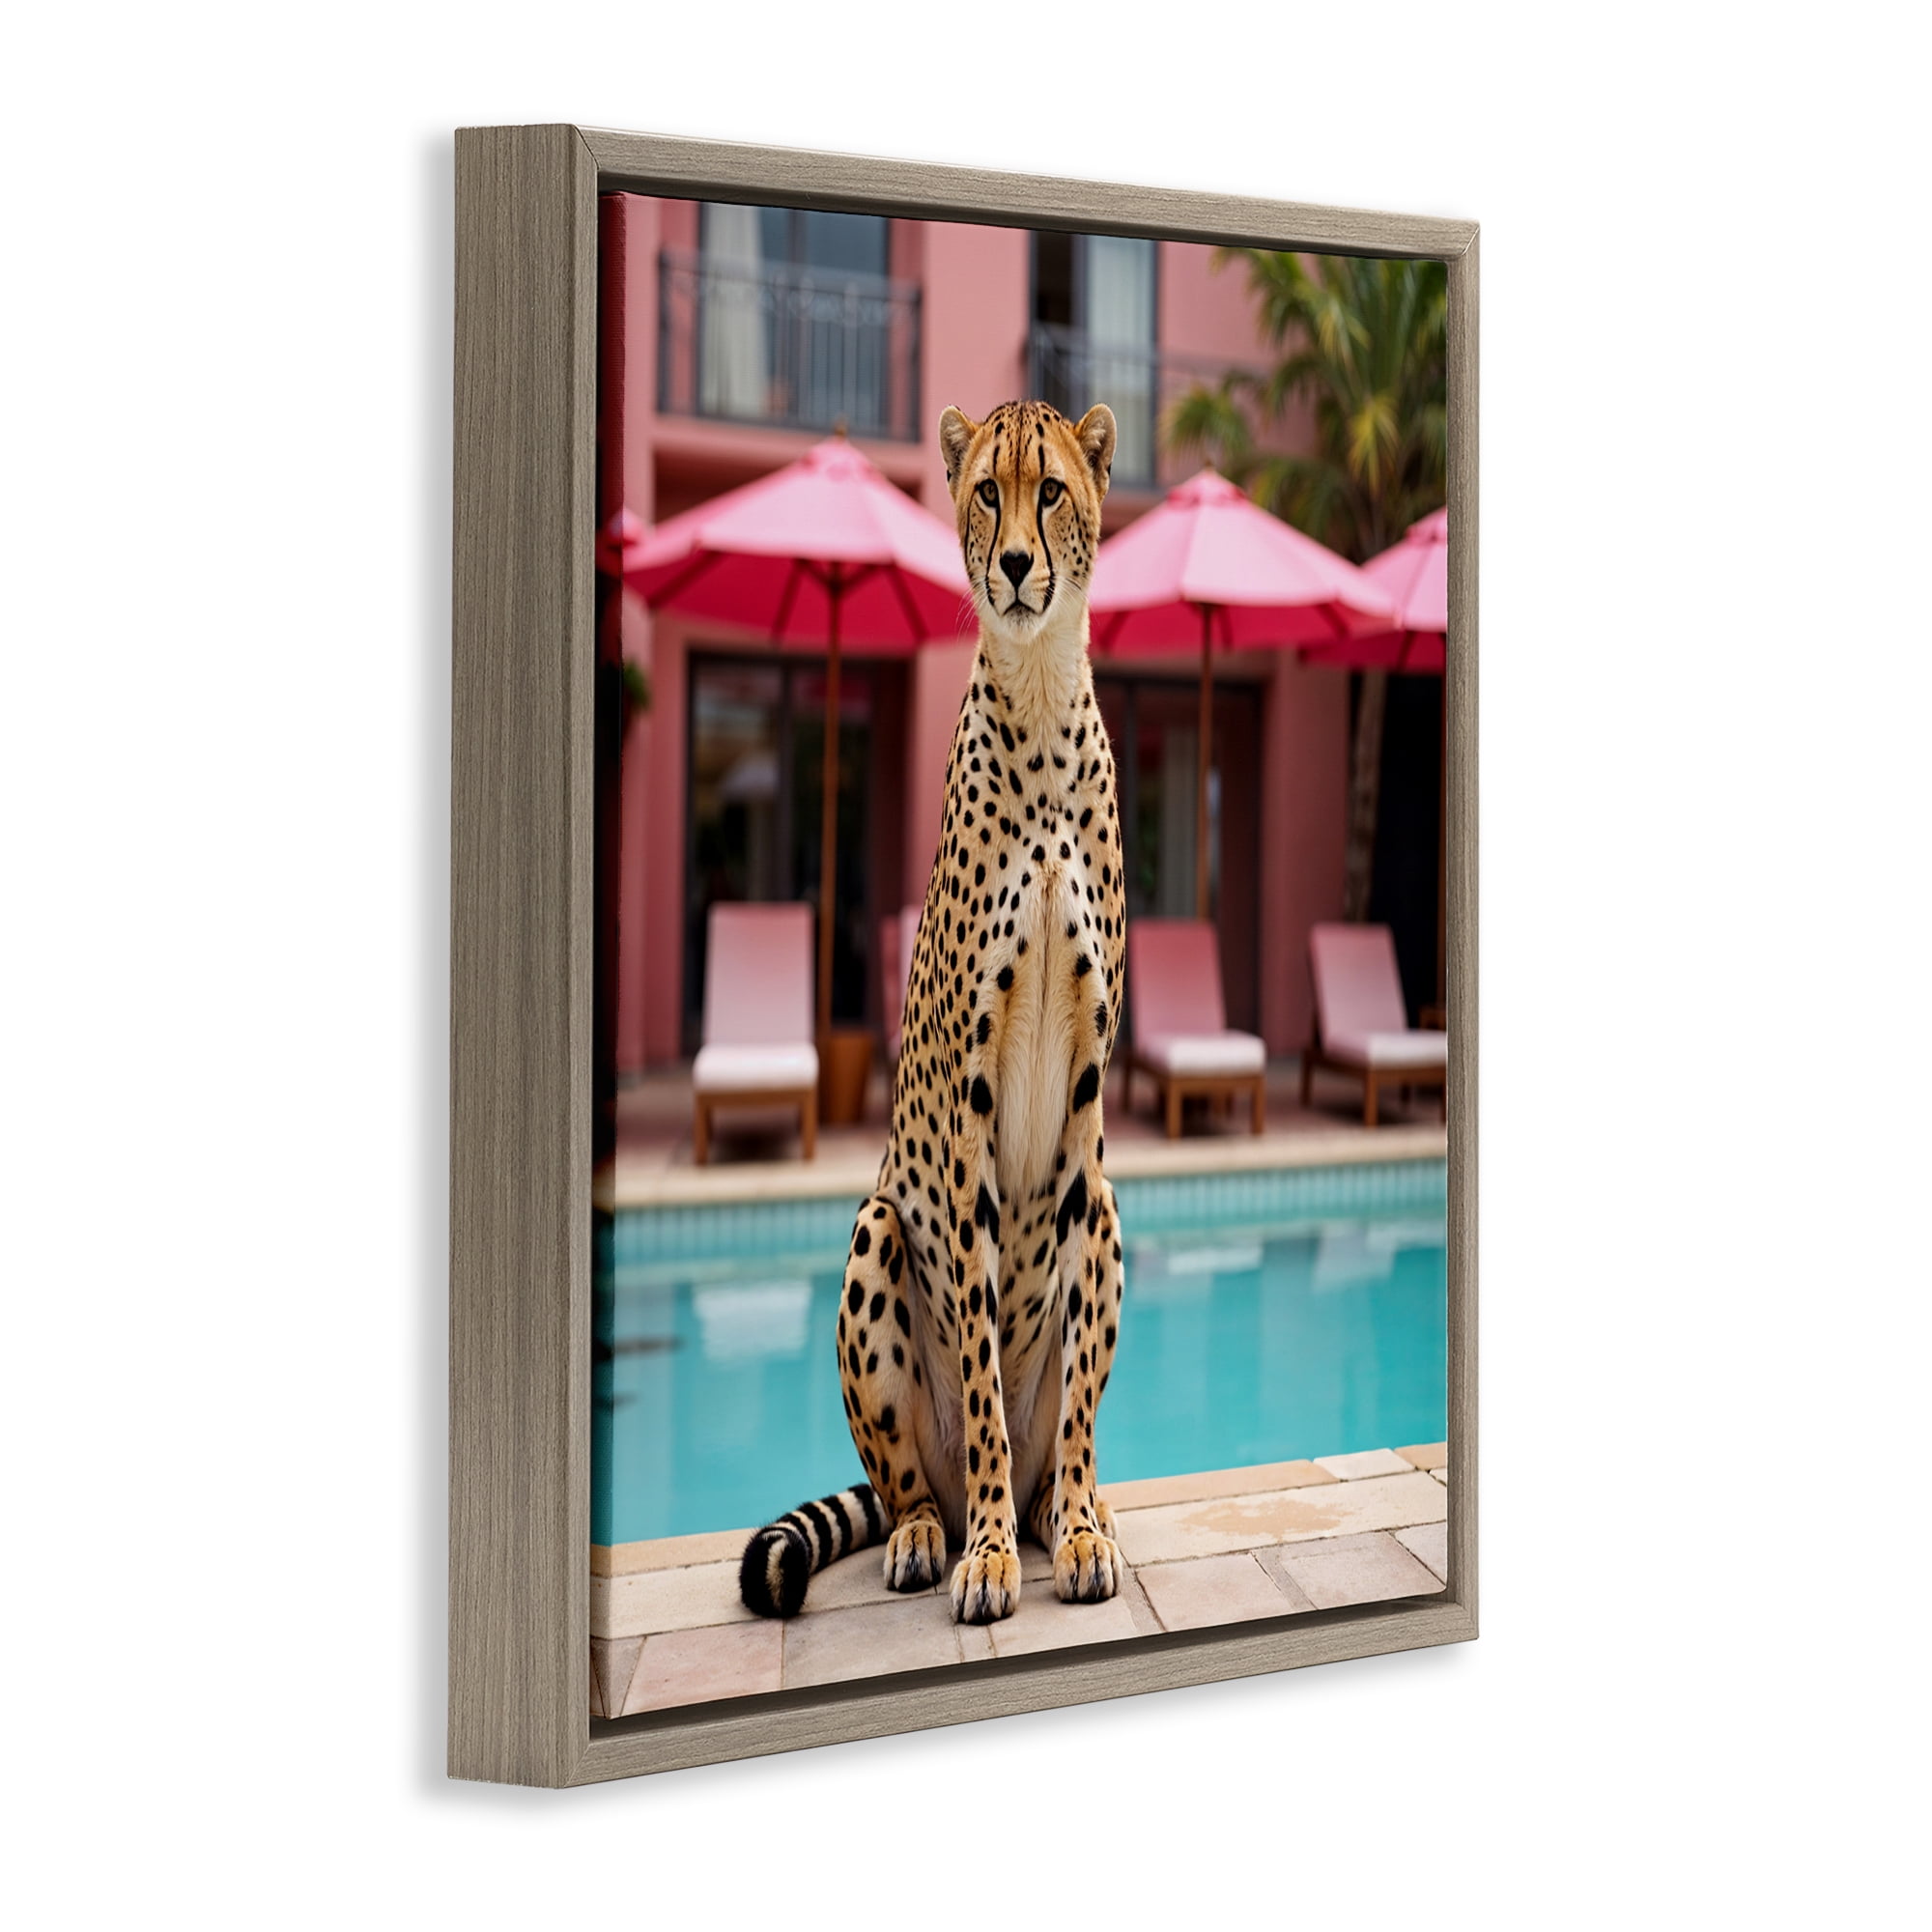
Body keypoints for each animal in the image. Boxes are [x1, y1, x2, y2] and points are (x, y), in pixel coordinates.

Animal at [740, 399, 1130, 1626]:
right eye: (984, 492)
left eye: (1049, 490)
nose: (1011, 564)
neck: (1041, 699)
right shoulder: (966, 1094)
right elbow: (981, 1367)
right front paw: (994, 1556)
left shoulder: (1090, 1104)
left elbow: (1072, 1391)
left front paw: (1078, 1528)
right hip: (874, 1226)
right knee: (912, 1478)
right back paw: (935, 1530)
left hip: (1110, 1209)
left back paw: (1060, 1510)